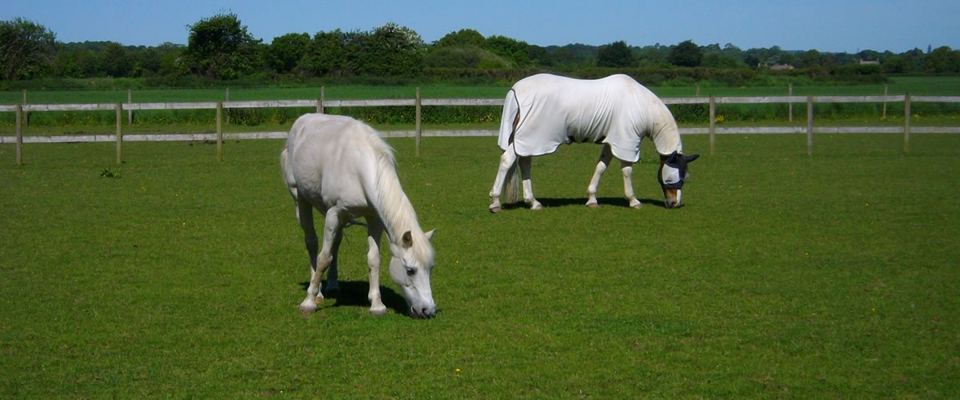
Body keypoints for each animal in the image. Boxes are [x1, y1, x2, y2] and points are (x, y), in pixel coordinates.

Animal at [281, 114, 437, 318]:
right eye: (410, 270)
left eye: (430, 268)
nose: (428, 310)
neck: (359, 165)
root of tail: (300, 122)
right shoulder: (333, 213)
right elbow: (324, 257)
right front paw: (308, 302)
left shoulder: (374, 218)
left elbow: (374, 259)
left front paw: (377, 305)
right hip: (300, 198)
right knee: (312, 242)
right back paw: (318, 293)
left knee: (336, 243)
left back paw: (332, 285)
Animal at [487, 73, 699, 212]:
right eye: (672, 178)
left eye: (686, 178)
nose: (674, 204)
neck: (640, 105)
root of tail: (516, 91)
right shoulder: (626, 142)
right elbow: (627, 171)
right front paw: (633, 201)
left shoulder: (611, 142)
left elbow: (601, 167)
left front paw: (591, 199)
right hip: (529, 138)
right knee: (507, 161)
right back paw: (496, 202)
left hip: (529, 141)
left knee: (524, 163)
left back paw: (533, 202)